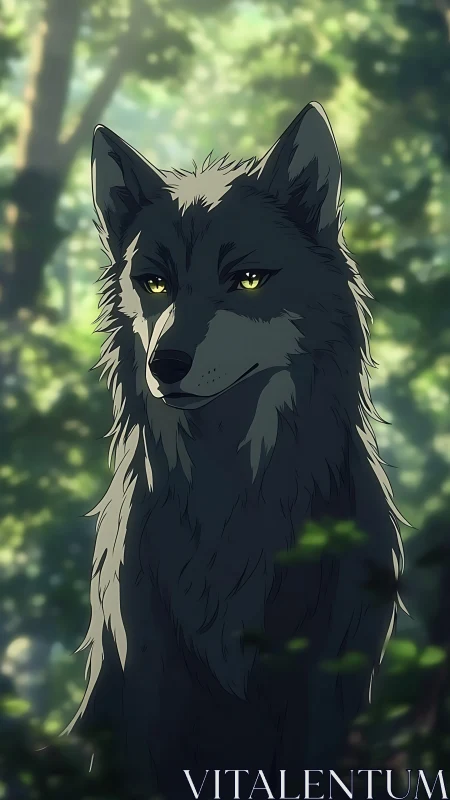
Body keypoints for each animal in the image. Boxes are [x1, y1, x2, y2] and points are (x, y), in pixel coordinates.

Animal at [62, 101, 406, 799]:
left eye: (246, 279)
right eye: (154, 283)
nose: (165, 365)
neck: (231, 503)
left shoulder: (324, 689)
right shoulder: (150, 684)